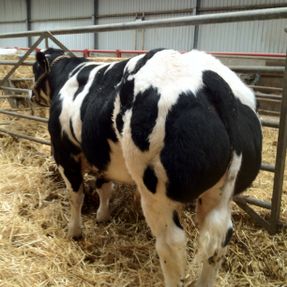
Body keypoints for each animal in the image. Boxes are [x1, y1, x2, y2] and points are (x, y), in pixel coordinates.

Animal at [32, 48, 264, 286]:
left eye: (35, 68)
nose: (32, 95)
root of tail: (213, 80)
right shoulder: (102, 156)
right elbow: (104, 187)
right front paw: (102, 216)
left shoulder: (64, 153)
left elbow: (76, 195)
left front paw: (74, 231)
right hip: (219, 195)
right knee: (219, 241)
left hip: (156, 195)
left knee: (171, 244)